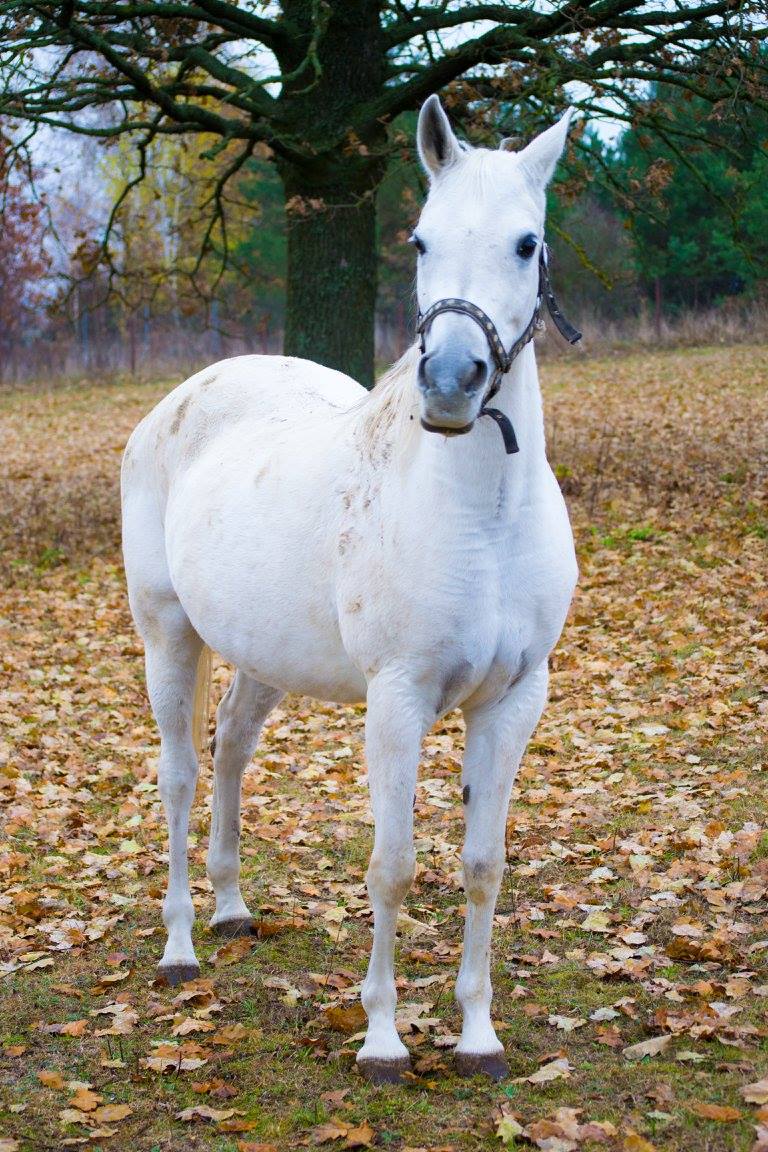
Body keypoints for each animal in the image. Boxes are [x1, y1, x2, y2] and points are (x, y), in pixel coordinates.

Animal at [121, 96, 575, 1078]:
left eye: (527, 244)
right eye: (419, 239)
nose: (451, 383)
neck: (479, 517)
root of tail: (179, 401)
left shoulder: (512, 703)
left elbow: (483, 865)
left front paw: (478, 1037)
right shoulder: (397, 701)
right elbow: (392, 867)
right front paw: (382, 1040)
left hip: (263, 658)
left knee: (230, 750)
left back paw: (231, 908)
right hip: (167, 636)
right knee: (179, 775)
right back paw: (179, 946)